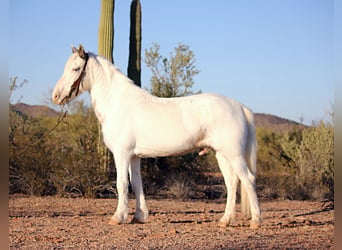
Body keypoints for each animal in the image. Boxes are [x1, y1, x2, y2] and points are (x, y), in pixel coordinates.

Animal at [52, 45, 262, 229]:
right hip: (222, 155)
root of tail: (240, 107)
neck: (118, 103)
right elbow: (136, 184)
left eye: (76, 68)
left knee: (248, 180)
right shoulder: (134, 156)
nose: (56, 96)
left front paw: (118, 217)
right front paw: (139, 216)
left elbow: (122, 184)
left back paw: (255, 221)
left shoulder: (121, 154)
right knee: (232, 183)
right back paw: (225, 220)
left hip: (234, 154)